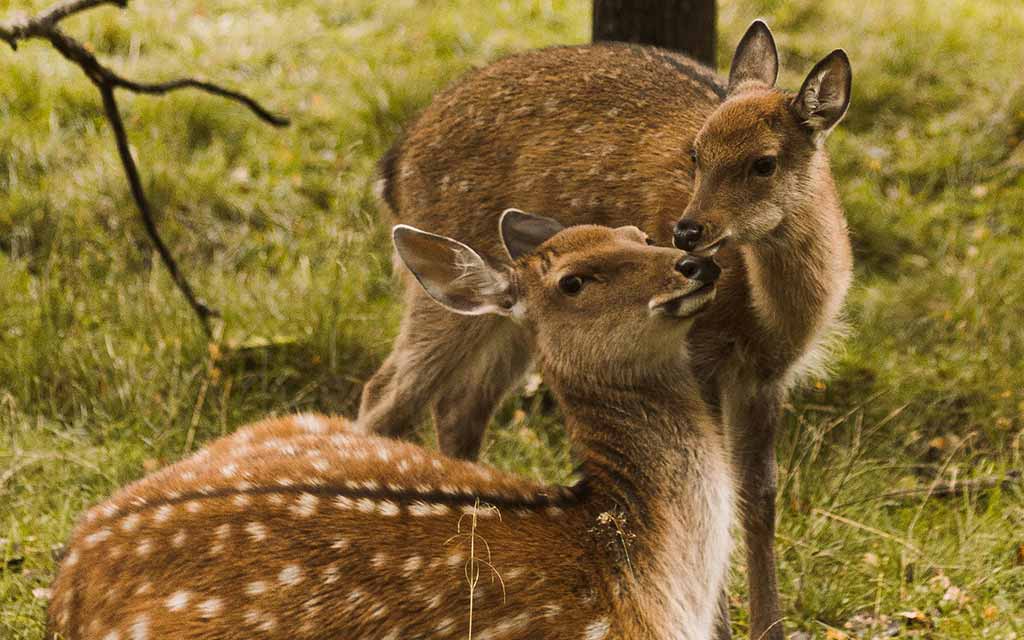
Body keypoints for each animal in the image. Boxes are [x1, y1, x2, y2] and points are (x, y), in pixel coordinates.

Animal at [356, 20, 854, 640]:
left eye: (765, 162)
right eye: (696, 153)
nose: (687, 232)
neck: (768, 316)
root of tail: (393, 165)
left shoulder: (768, 376)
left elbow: (759, 499)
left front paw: (770, 628)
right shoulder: (700, 356)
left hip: (515, 319)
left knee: (459, 406)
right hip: (442, 283)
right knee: (386, 393)